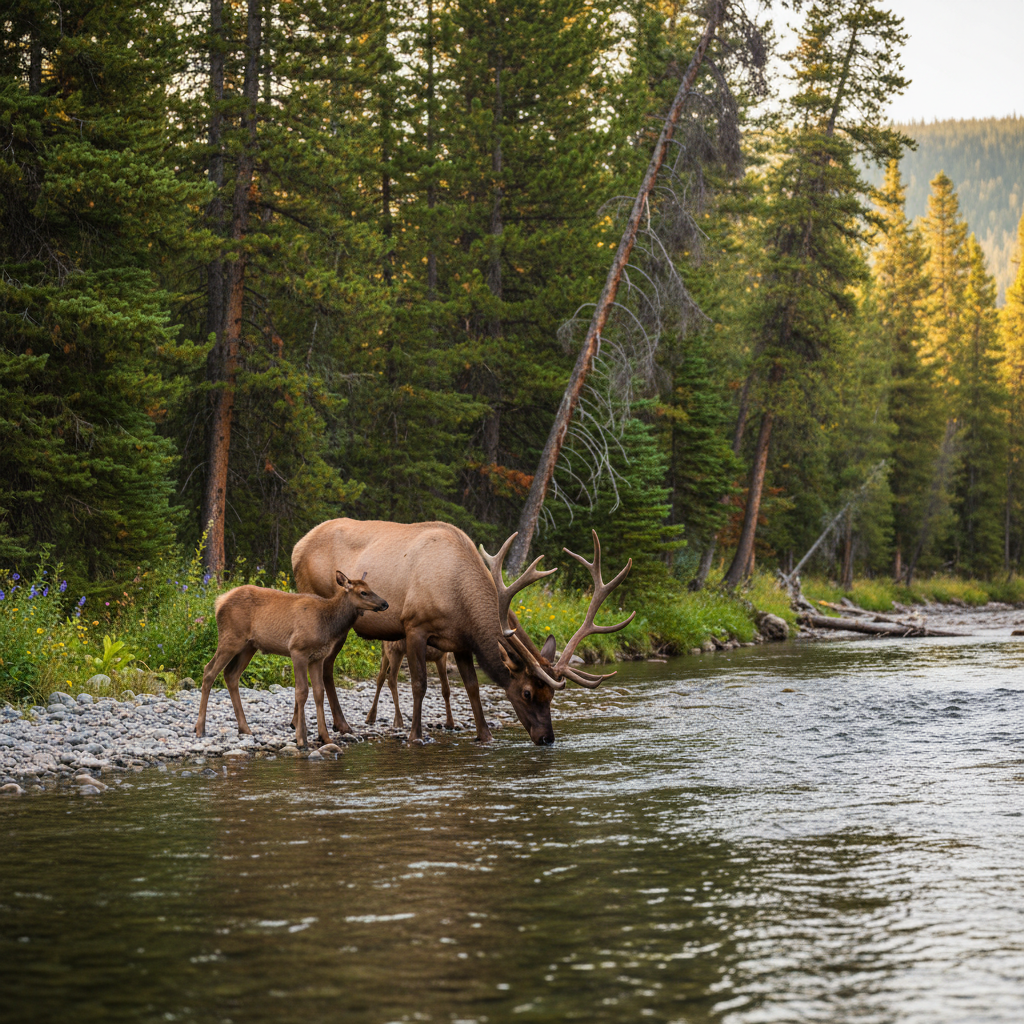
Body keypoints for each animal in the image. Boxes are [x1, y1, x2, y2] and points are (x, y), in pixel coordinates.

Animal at [195, 570, 389, 749]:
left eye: (371, 588)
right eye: (363, 592)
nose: (385, 603)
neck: (328, 624)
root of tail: (219, 601)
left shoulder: (318, 657)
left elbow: (319, 692)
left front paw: (325, 737)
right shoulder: (298, 650)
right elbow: (301, 691)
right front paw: (301, 738)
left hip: (249, 646)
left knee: (231, 675)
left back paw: (244, 728)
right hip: (230, 638)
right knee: (209, 671)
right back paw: (200, 729)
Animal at [291, 519, 634, 745]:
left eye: (550, 696)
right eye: (526, 692)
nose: (547, 738)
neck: (459, 598)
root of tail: (296, 548)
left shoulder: (461, 642)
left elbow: (471, 686)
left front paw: (485, 734)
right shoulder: (414, 626)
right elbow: (419, 684)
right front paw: (415, 735)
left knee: (326, 666)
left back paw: (328, 724)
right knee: (320, 665)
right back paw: (337, 724)